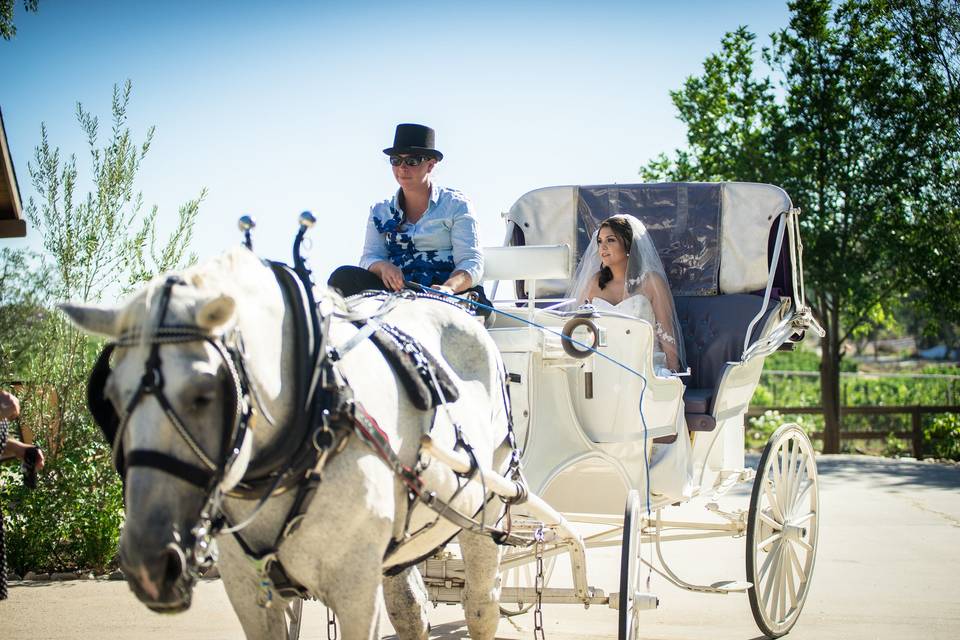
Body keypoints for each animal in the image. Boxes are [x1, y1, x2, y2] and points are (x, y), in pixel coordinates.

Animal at [61, 248, 512, 640]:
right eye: (111, 398)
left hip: (487, 512)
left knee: (481, 604)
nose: (148, 566)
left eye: (204, 394)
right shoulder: (247, 589)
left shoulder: (355, 591)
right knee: (409, 608)